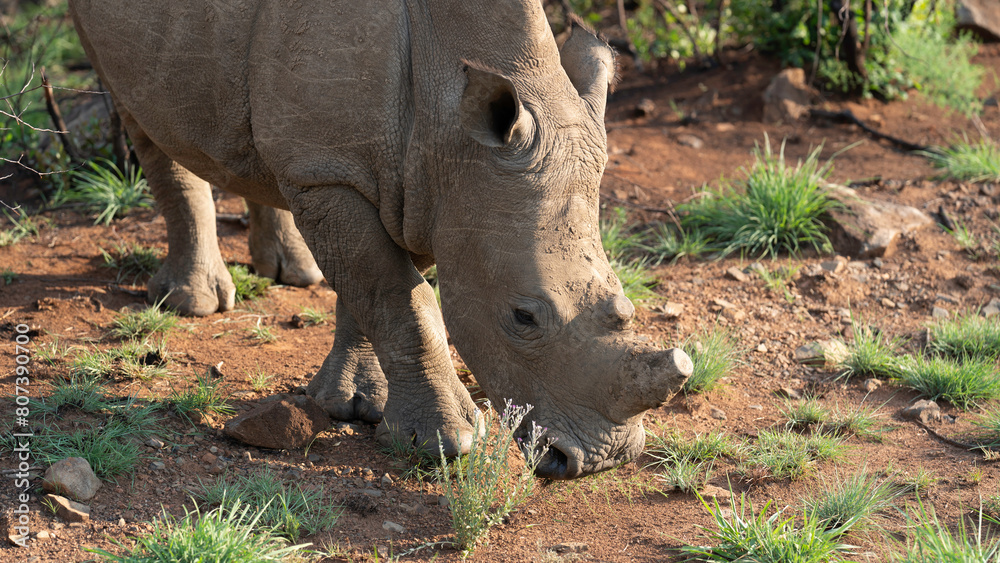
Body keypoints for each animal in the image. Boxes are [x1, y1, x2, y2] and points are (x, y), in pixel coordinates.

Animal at [68, 0, 692, 478]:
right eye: (523, 317)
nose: (602, 460)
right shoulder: (339, 173)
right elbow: (398, 297)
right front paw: (445, 443)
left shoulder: (420, 176)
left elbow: (373, 290)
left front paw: (353, 403)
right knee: (134, 106)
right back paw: (192, 303)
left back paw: (290, 272)